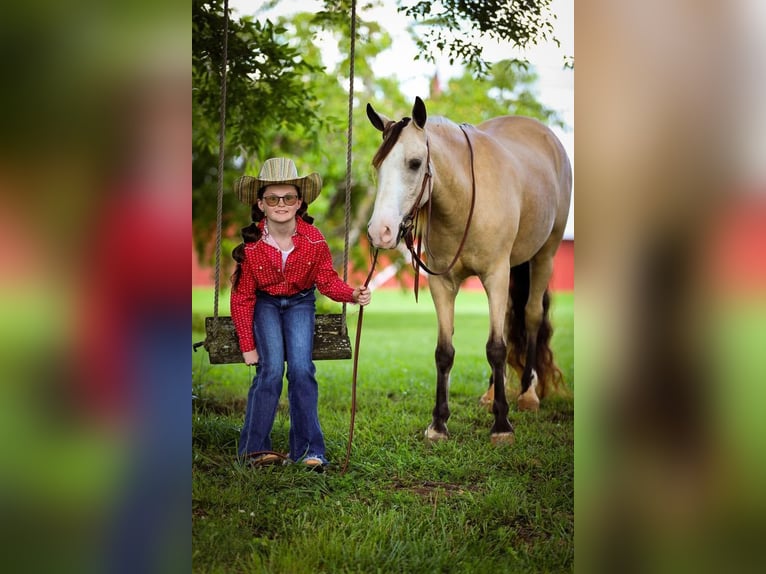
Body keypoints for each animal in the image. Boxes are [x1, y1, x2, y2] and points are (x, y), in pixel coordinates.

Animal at [366, 96, 572, 444]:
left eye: (415, 163)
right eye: (378, 165)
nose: (380, 231)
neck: (462, 203)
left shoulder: (496, 276)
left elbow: (497, 348)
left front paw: (502, 425)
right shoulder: (442, 283)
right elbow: (445, 352)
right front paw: (438, 423)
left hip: (545, 255)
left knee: (530, 316)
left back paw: (528, 395)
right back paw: (490, 395)